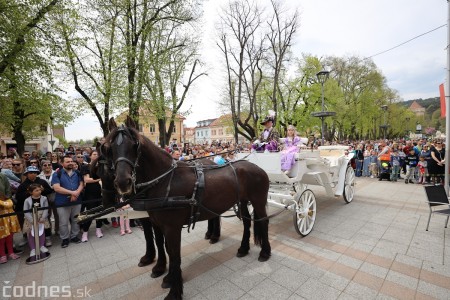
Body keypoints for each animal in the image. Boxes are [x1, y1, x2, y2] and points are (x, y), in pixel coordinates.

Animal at [102, 117, 270, 300]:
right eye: (109, 148)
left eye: (135, 145)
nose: (122, 182)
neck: (166, 180)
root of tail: (257, 167)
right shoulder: (157, 223)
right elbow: (164, 247)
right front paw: (166, 275)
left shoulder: (172, 227)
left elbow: (175, 255)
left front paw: (174, 291)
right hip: (243, 201)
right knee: (246, 223)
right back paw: (243, 248)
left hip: (258, 201)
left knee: (263, 221)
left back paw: (265, 252)